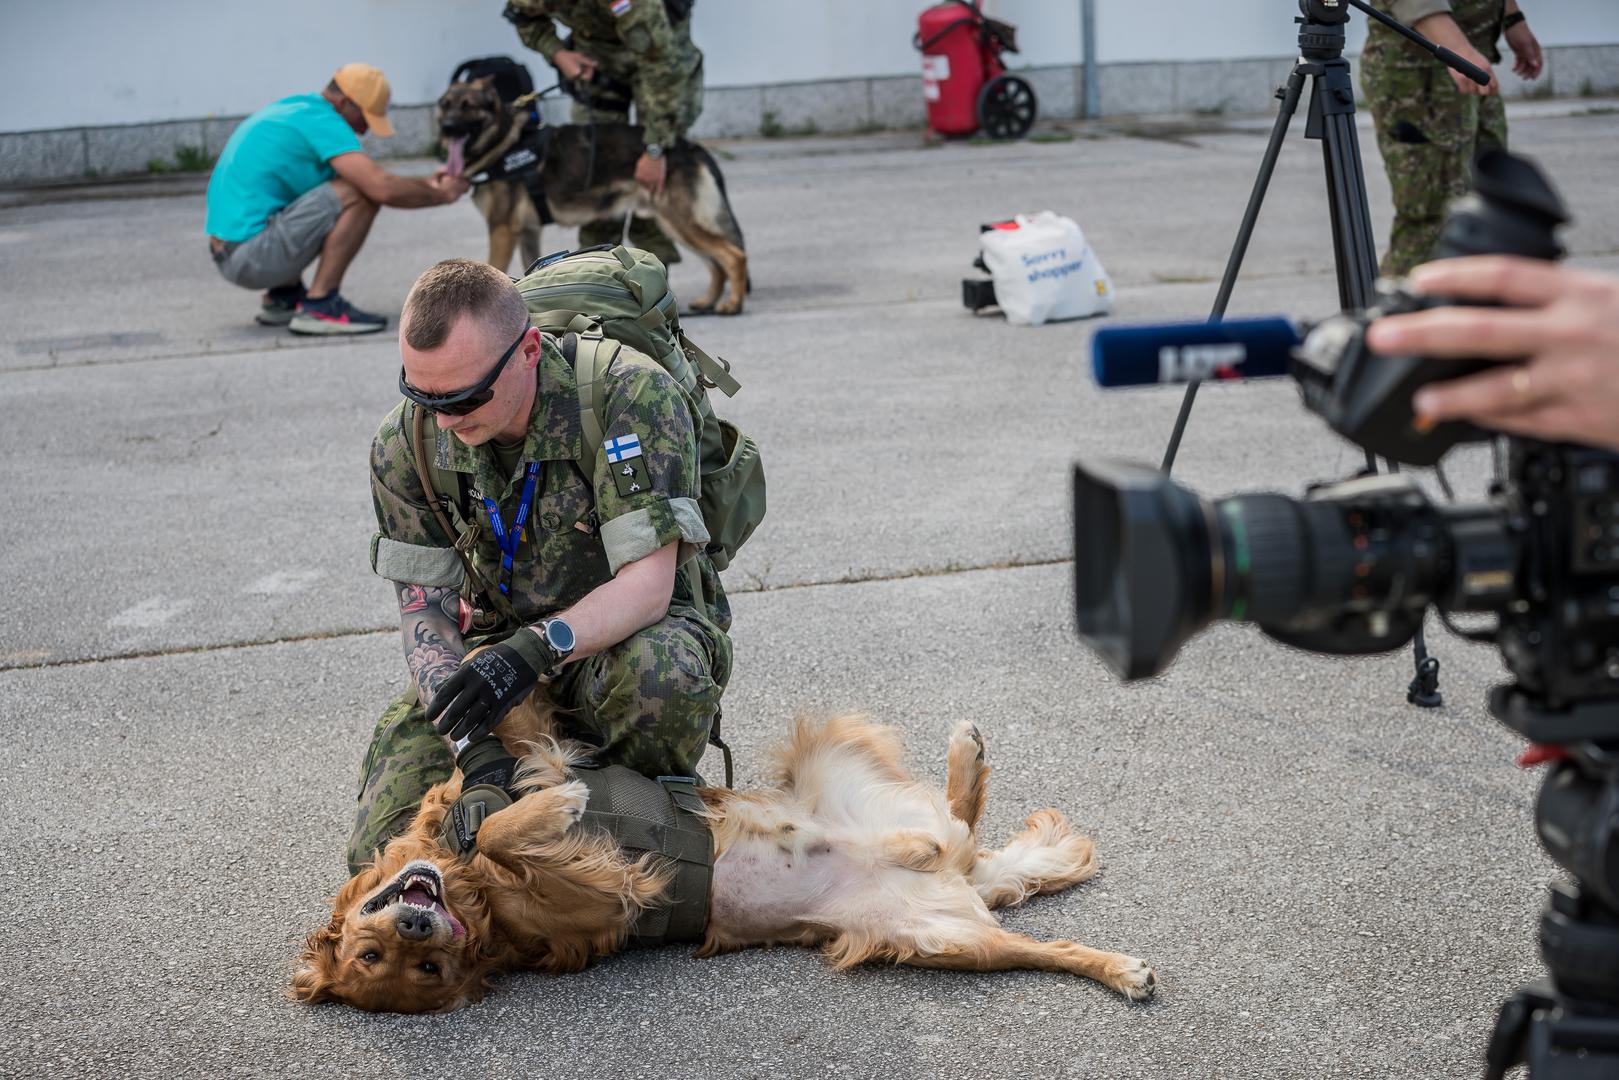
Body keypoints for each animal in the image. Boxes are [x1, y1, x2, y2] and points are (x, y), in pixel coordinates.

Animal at [437, 78, 751, 314]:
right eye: (445, 105)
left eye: (469, 107)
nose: (447, 128)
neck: (503, 142)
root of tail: (691, 146)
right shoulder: (528, 232)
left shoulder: (502, 230)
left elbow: (494, 268)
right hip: (677, 225)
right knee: (717, 262)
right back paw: (708, 301)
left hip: (680, 222)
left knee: (732, 255)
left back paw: (732, 304)